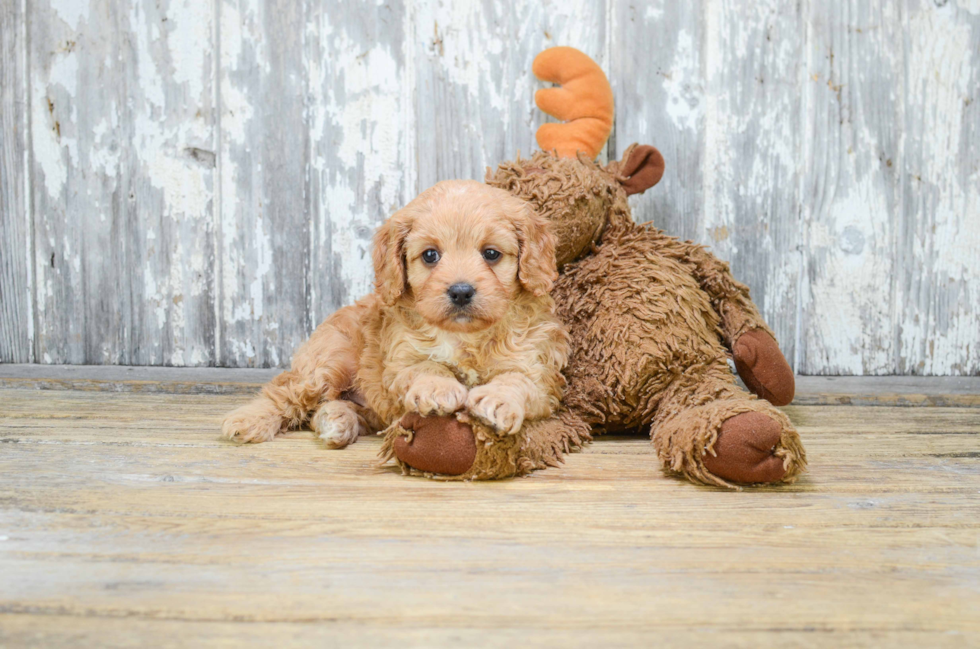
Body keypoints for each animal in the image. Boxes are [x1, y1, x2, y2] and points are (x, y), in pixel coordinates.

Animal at [223, 180, 572, 448]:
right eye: (430, 255)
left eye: (491, 254)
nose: (460, 291)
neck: (464, 337)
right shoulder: (399, 361)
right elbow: (425, 366)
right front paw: (439, 388)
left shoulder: (538, 372)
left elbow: (518, 381)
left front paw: (497, 400)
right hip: (328, 363)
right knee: (285, 391)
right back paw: (249, 419)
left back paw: (337, 421)